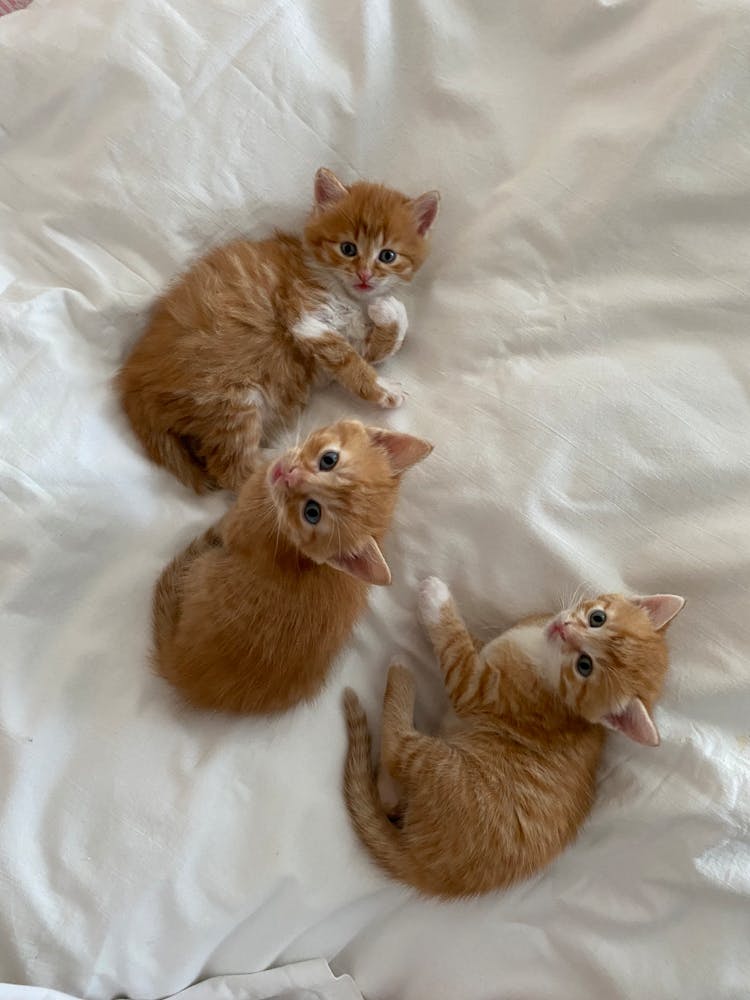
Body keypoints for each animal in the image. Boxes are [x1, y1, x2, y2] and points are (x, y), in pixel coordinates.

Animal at [114, 170, 438, 494]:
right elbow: (348, 359)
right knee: (233, 470)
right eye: (348, 249)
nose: (365, 276)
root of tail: (134, 382)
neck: (344, 292)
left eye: (387, 255)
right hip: (227, 398)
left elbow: (379, 344)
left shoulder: (349, 343)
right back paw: (288, 458)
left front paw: (385, 309)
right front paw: (384, 389)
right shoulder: (305, 319)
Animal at [152, 418, 432, 716]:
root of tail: (176, 670)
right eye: (329, 460)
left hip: (201, 568)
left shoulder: (236, 523)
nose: (290, 476)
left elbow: (228, 525)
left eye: (312, 512)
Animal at [346, 580, 688, 900]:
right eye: (597, 618)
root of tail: (427, 868)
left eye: (584, 665)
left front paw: (436, 598)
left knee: (398, 749)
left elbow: (456, 647)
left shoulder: (472, 686)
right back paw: (388, 789)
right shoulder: (492, 648)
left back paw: (401, 671)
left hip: (442, 767)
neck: (543, 661)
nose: (564, 629)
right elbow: (474, 643)